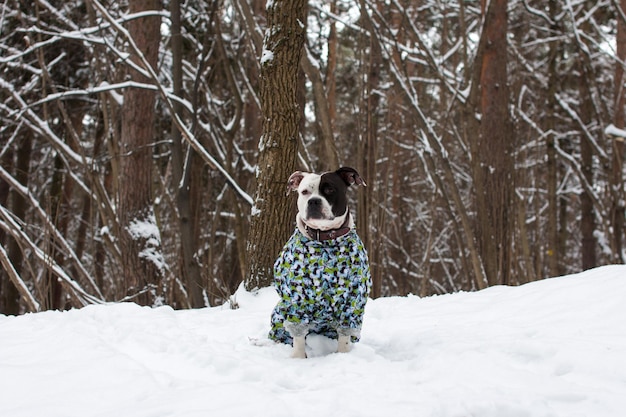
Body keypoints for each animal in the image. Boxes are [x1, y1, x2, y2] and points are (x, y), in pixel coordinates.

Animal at [268, 166, 370, 358]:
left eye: (329, 189)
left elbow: (344, 336)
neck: (324, 240)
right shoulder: (296, 299)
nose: (314, 201)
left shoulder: (353, 300)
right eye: (304, 192)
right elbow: (298, 336)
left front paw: (343, 356)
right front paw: (298, 358)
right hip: (279, 314)